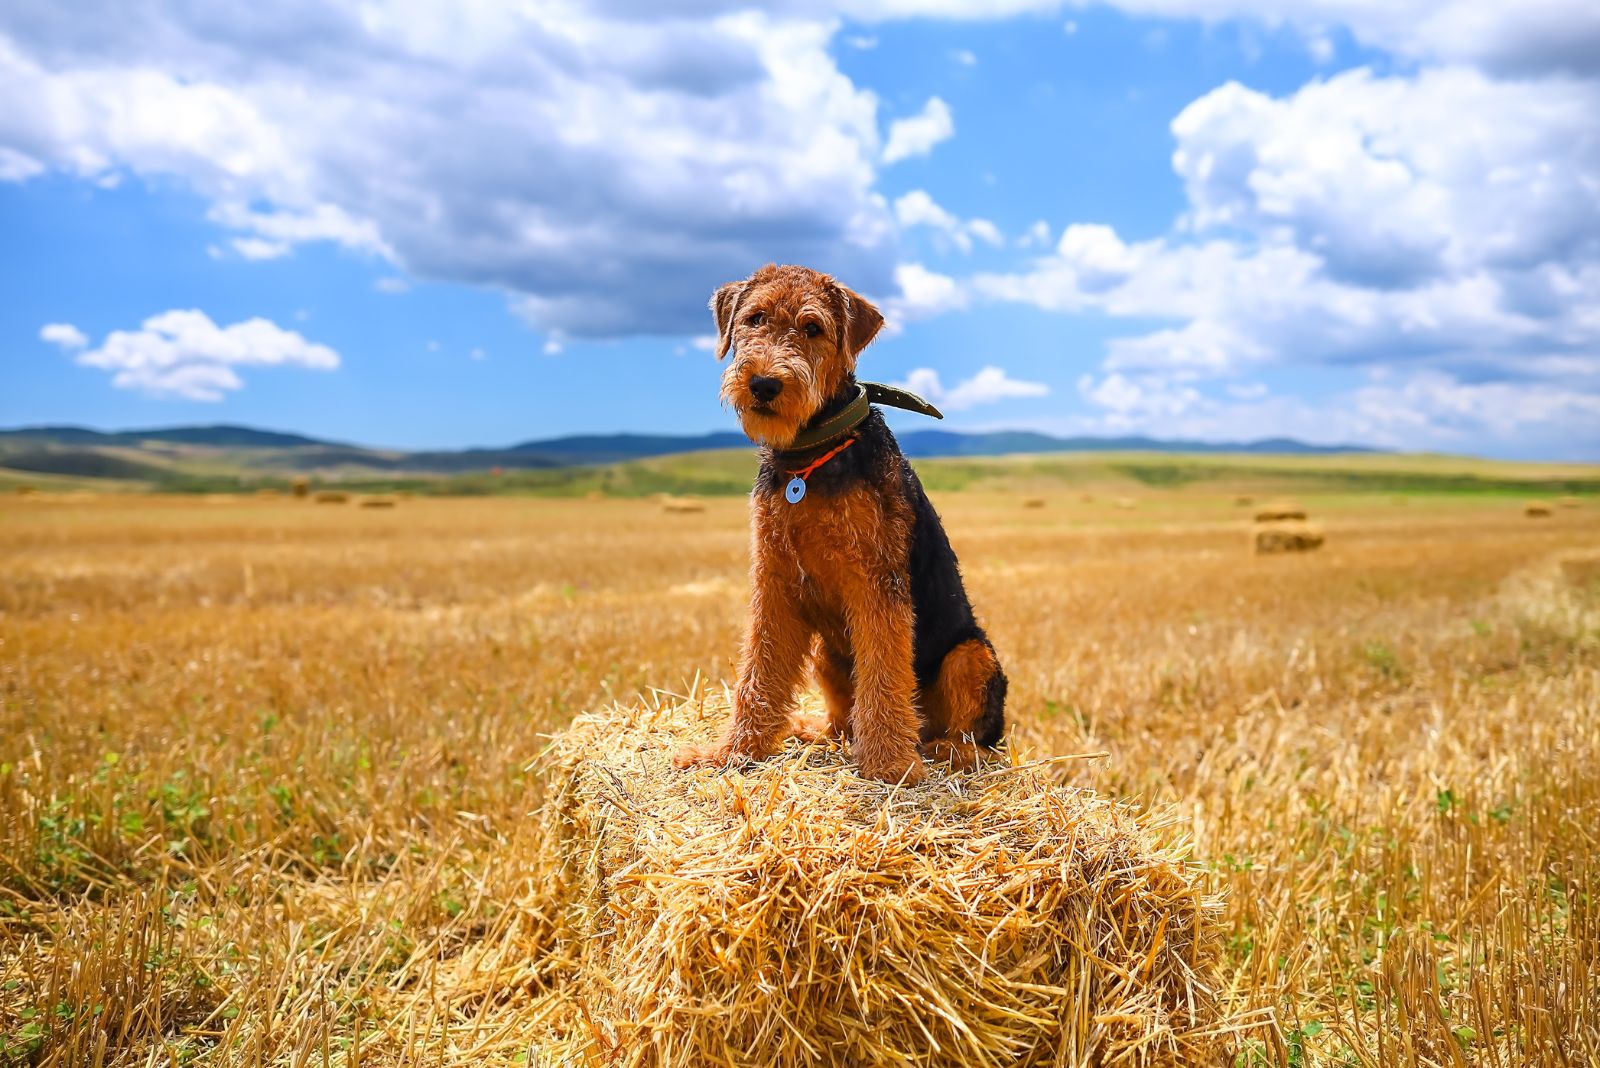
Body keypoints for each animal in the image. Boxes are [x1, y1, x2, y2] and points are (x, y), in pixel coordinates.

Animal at [672, 265, 998, 783]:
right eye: (754, 317)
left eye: (813, 328)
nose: (764, 384)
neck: (809, 456)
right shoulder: (775, 580)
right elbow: (758, 673)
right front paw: (731, 753)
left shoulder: (877, 584)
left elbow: (884, 677)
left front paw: (889, 766)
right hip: (827, 654)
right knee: (844, 720)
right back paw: (814, 730)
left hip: (970, 655)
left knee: (977, 742)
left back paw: (934, 751)